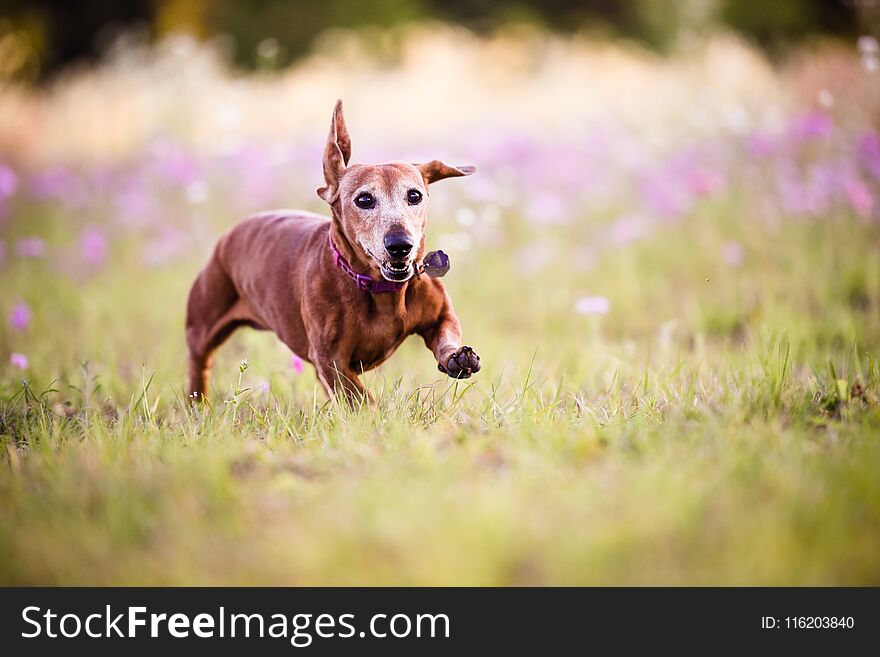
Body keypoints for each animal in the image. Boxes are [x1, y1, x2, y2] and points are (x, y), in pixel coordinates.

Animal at [182, 100, 478, 402]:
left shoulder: (441, 316)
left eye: (415, 195)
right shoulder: (331, 361)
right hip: (202, 326)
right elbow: (361, 399)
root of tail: (228, 236)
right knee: (199, 363)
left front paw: (456, 357)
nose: (400, 245)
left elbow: (446, 332)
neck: (379, 289)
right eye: (364, 199)